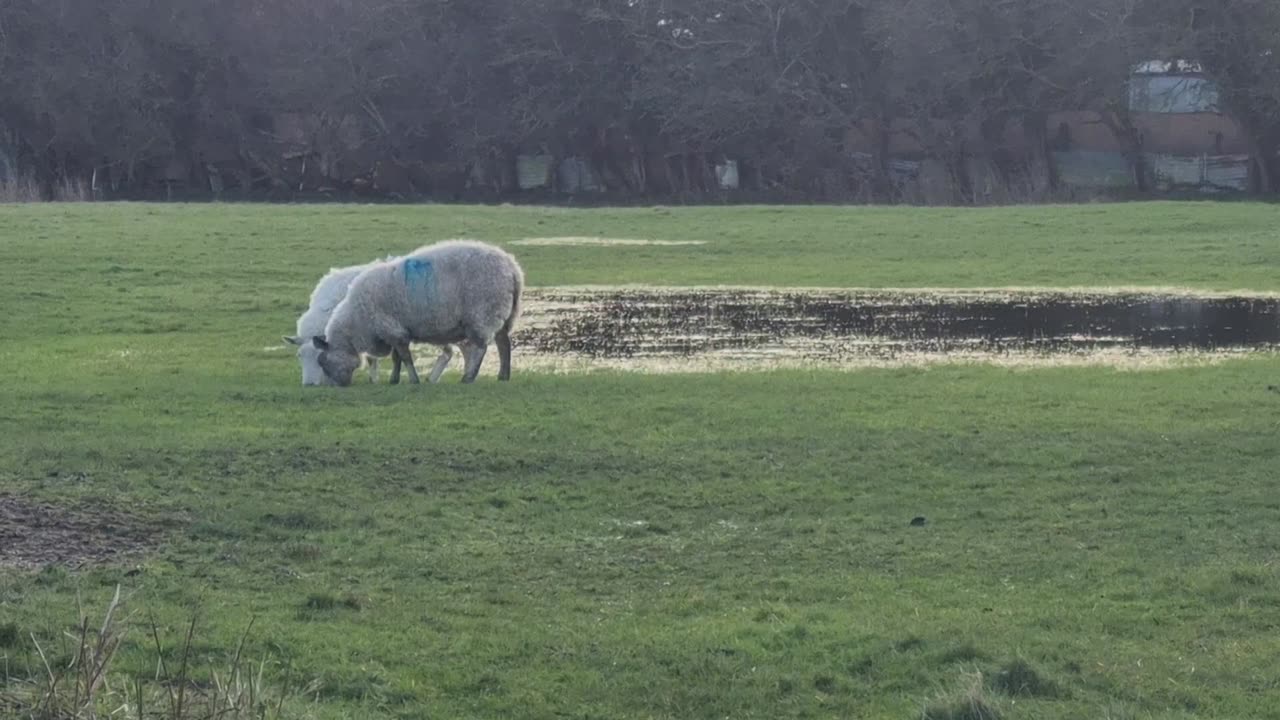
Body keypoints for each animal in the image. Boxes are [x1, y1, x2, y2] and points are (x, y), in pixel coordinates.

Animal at [309, 239, 524, 386]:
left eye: (323, 363)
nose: (338, 386)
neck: (357, 321)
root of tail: (512, 268)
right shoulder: (395, 329)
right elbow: (397, 358)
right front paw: (394, 380)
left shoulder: (392, 329)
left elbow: (405, 357)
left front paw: (413, 379)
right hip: (502, 313)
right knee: (504, 343)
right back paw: (503, 376)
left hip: (483, 313)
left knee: (481, 348)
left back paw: (468, 377)